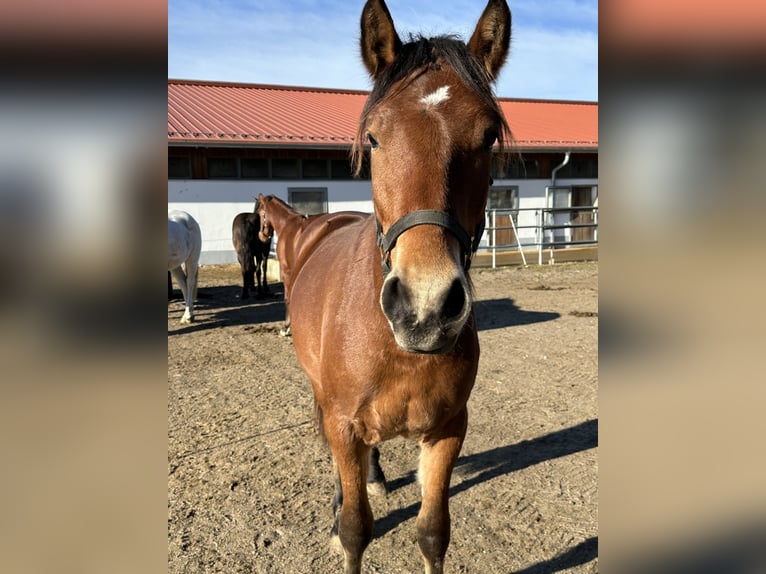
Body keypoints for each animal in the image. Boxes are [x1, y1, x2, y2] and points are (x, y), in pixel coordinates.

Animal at [260, 2, 512, 572]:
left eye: (488, 136)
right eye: (374, 137)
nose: (425, 308)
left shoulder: (447, 431)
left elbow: (434, 533)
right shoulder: (343, 424)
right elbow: (356, 531)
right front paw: (342, 521)